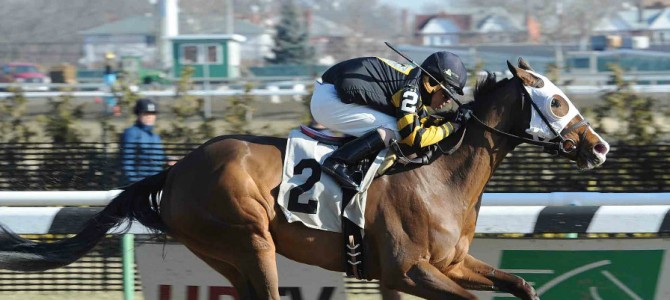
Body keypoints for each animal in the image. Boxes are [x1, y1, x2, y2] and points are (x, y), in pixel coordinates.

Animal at [0, 59, 612, 300]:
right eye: (557, 100)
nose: (600, 146)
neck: (439, 177)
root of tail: (175, 171)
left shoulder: (448, 264)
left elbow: (522, 285)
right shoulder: (410, 269)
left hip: (224, 253)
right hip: (249, 238)